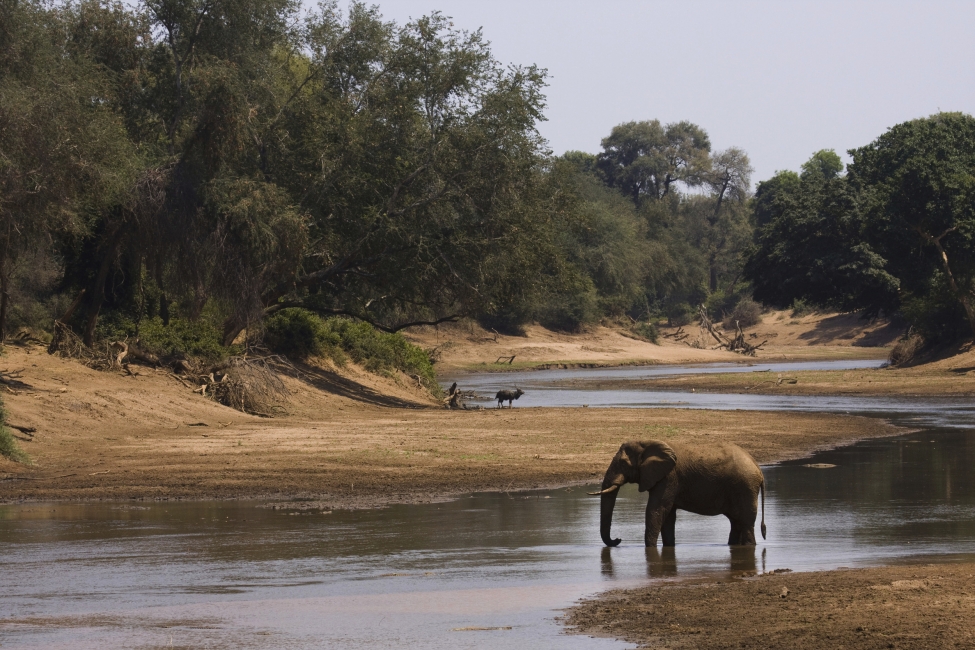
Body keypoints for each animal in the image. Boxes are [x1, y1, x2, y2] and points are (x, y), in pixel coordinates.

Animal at [591, 440, 766, 547]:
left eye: (623, 463)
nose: (618, 539)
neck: (647, 443)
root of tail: (758, 468)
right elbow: (667, 515)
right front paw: (668, 547)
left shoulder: (669, 478)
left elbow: (656, 510)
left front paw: (650, 549)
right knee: (736, 522)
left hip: (745, 487)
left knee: (745, 522)